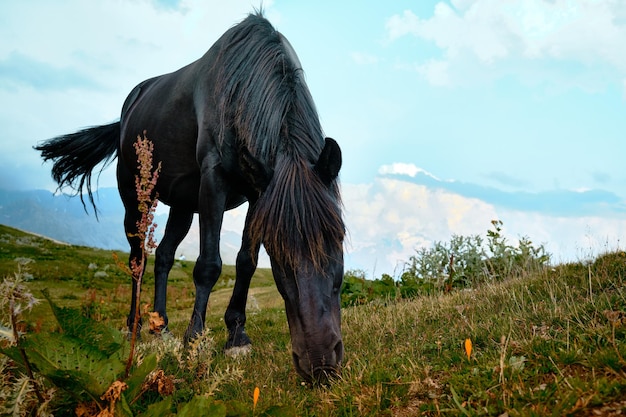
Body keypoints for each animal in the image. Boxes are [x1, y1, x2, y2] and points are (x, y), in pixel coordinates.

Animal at [36, 12, 344, 384]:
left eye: (337, 237)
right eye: (279, 252)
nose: (321, 361)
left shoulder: (258, 195)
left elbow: (245, 262)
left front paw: (236, 336)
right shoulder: (214, 181)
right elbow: (208, 265)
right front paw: (195, 339)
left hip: (183, 206)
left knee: (164, 256)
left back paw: (161, 326)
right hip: (136, 200)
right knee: (138, 260)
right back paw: (134, 326)